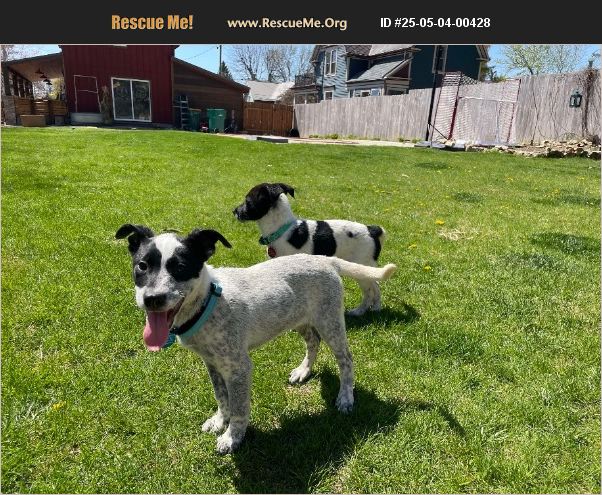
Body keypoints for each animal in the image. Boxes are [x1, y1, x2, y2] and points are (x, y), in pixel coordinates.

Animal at [116, 223, 396, 454]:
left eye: (181, 268)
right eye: (142, 266)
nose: (152, 299)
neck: (208, 301)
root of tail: (327, 261)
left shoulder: (238, 367)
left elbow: (239, 407)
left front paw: (232, 438)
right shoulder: (212, 363)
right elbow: (221, 397)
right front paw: (220, 421)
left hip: (330, 322)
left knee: (346, 359)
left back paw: (346, 397)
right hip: (299, 320)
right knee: (313, 342)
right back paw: (303, 371)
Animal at [233, 182, 387, 316]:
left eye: (248, 201)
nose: (234, 211)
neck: (283, 230)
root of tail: (372, 230)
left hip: (361, 266)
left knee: (370, 291)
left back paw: (360, 311)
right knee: (376, 286)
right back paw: (376, 308)